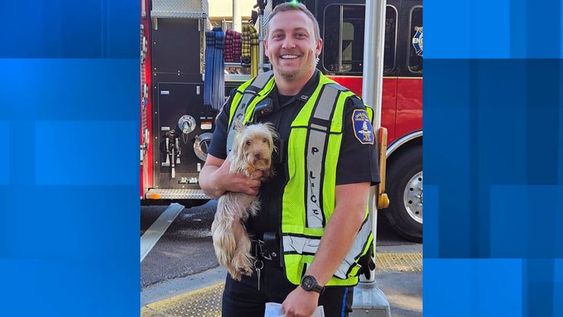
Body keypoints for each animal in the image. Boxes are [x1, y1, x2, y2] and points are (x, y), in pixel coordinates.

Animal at [212, 121, 278, 278]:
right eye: (248, 142)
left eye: (264, 140)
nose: (258, 154)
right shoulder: (233, 167)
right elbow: (242, 164)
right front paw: (248, 166)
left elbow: (266, 170)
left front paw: (269, 168)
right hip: (225, 235)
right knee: (227, 259)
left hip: (243, 238)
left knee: (239, 254)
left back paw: (242, 268)